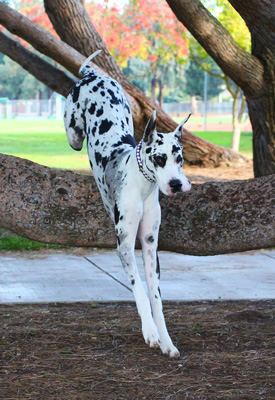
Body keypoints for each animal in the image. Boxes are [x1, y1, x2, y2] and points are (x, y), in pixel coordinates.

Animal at [65, 50, 192, 356]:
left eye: (180, 158)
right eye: (159, 158)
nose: (176, 184)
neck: (144, 184)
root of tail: (93, 74)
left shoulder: (149, 245)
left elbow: (156, 298)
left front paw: (166, 340)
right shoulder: (124, 246)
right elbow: (140, 293)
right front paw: (150, 332)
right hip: (74, 134)